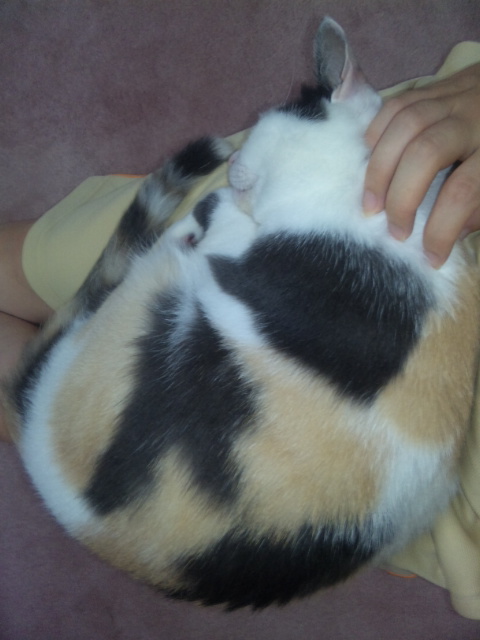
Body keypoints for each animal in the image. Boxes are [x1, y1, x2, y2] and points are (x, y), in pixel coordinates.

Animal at [5, 17, 480, 609]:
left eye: (251, 141)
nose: (230, 165)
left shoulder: (240, 254)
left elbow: (224, 229)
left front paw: (215, 211)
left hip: (160, 303)